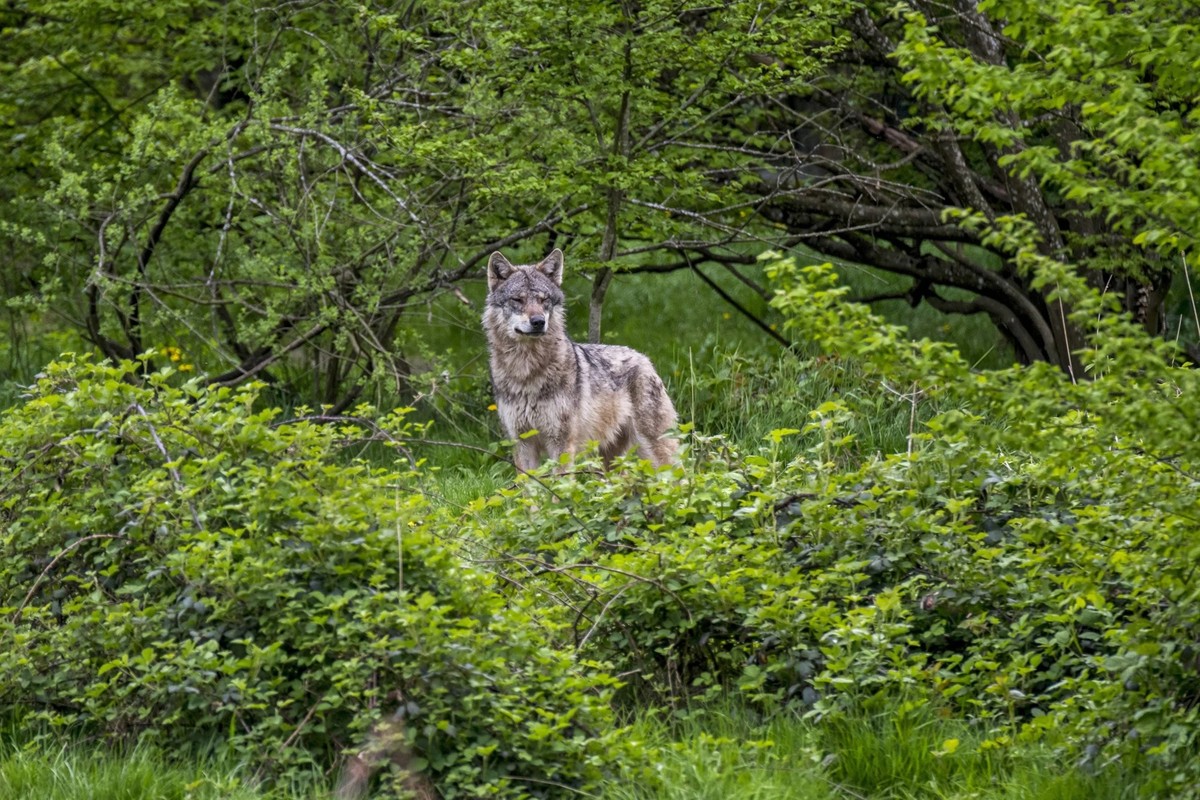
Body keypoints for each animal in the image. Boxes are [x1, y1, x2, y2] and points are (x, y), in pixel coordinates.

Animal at [483, 248, 678, 472]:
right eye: (517, 300)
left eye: (544, 300)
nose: (539, 321)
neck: (526, 371)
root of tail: (644, 358)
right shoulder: (522, 443)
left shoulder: (561, 443)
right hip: (608, 463)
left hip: (654, 453)